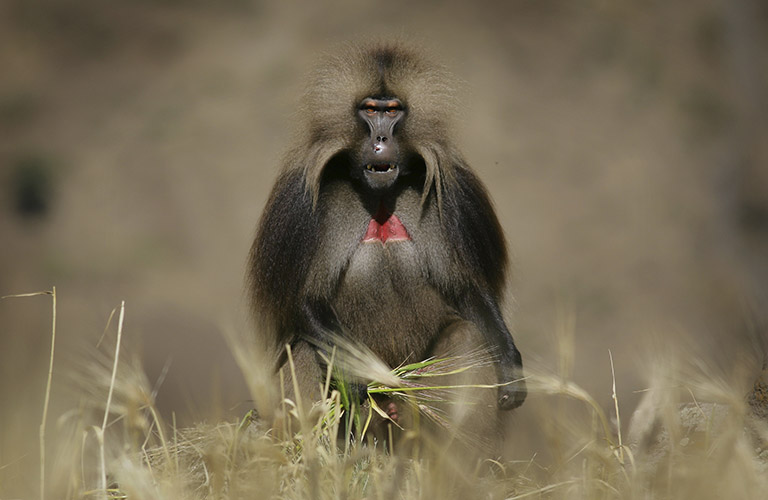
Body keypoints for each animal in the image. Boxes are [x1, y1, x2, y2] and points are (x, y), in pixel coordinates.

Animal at [248, 42, 526, 428]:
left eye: (392, 111)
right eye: (369, 110)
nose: (380, 140)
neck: (379, 196)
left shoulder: (457, 195)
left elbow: (467, 291)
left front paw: (511, 368)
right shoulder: (298, 206)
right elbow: (305, 303)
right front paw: (359, 382)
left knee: (468, 336)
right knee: (304, 350)